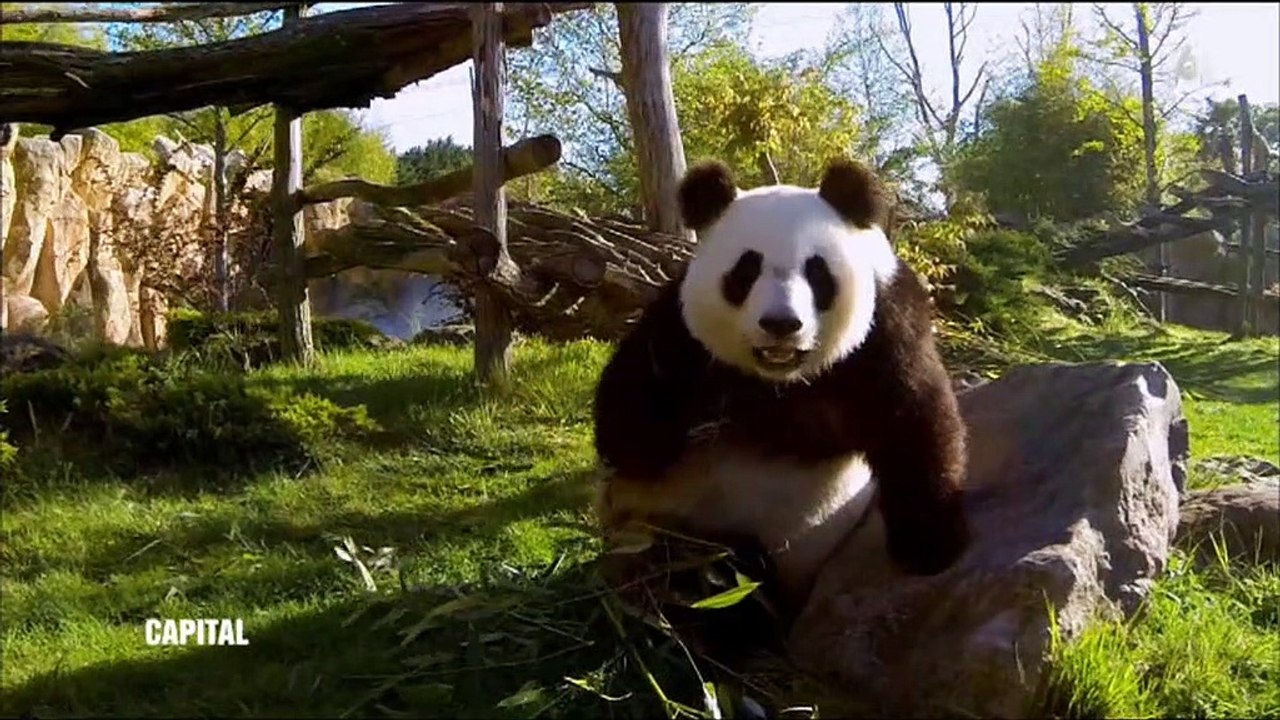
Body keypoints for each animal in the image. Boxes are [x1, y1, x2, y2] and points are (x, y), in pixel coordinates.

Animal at [590, 157, 971, 619]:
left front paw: (929, 547)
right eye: (746, 270)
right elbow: (626, 430)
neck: (779, 380)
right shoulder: (678, 330)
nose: (781, 324)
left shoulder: (885, 328)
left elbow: (913, 421)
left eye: (817, 272)